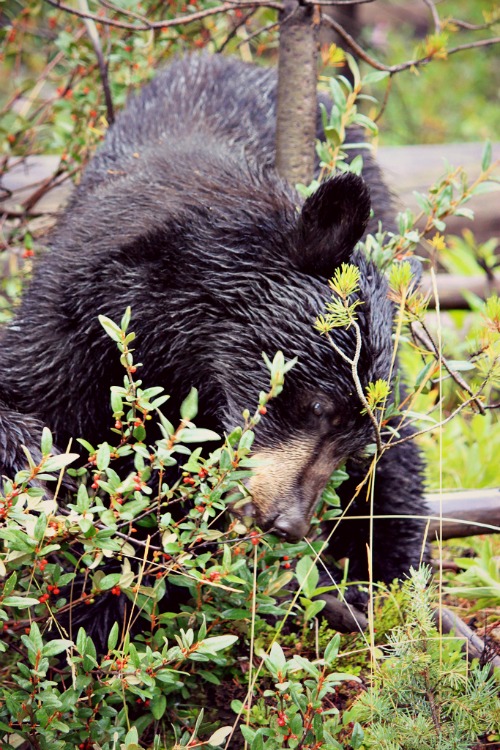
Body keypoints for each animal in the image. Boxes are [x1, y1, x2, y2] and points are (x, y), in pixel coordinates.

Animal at [0, 54, 428, 624]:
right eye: (318, 405)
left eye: (355, 440)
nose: (289, 523)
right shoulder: (75, 324)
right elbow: (31, 397)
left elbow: (395, 462)